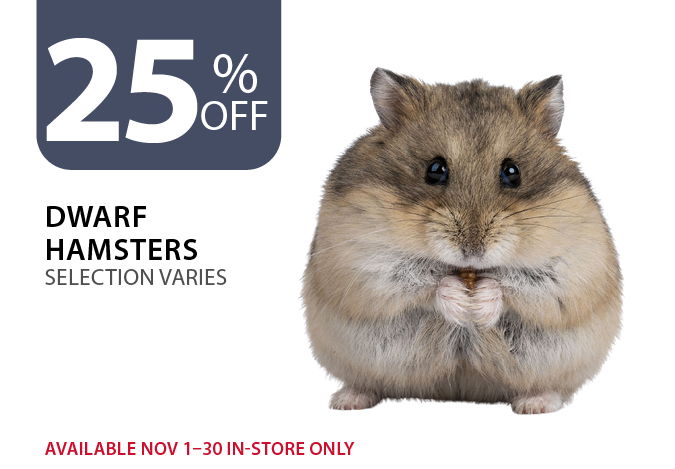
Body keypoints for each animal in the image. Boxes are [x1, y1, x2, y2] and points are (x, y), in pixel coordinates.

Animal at [303, 68, 621, 414]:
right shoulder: (361, 258)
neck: (468, 271)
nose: (473, 250)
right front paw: (458, 298)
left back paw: (536, 404)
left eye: (513, 172)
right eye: (434, 169)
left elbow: (520, 284)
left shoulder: (574, 265)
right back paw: (346, 401)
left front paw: (479, 301)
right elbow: (421, 280)